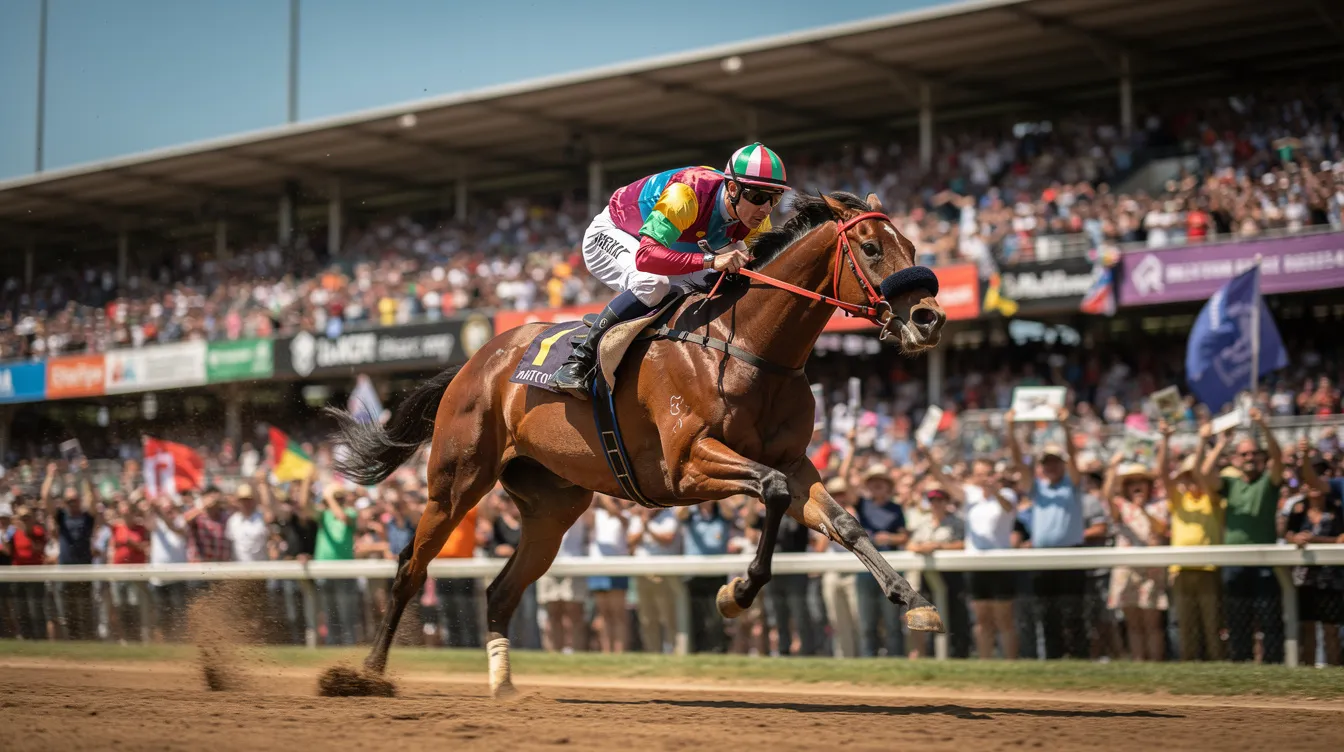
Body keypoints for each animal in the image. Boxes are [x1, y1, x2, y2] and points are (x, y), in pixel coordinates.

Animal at [327, 191, 947, 697]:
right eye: (871, 248)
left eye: (912, 244)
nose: (929, 318)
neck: (746, 345)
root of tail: (475, 361)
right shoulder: (687, 464)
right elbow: (769, 491)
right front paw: (737, 592)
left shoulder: (795, 463)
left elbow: (844, 522)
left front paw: (914, 602)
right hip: (455, 482)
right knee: (410, 568)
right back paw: (367, 675)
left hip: (553, 506)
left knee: (501, 591)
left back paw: (502, 684)